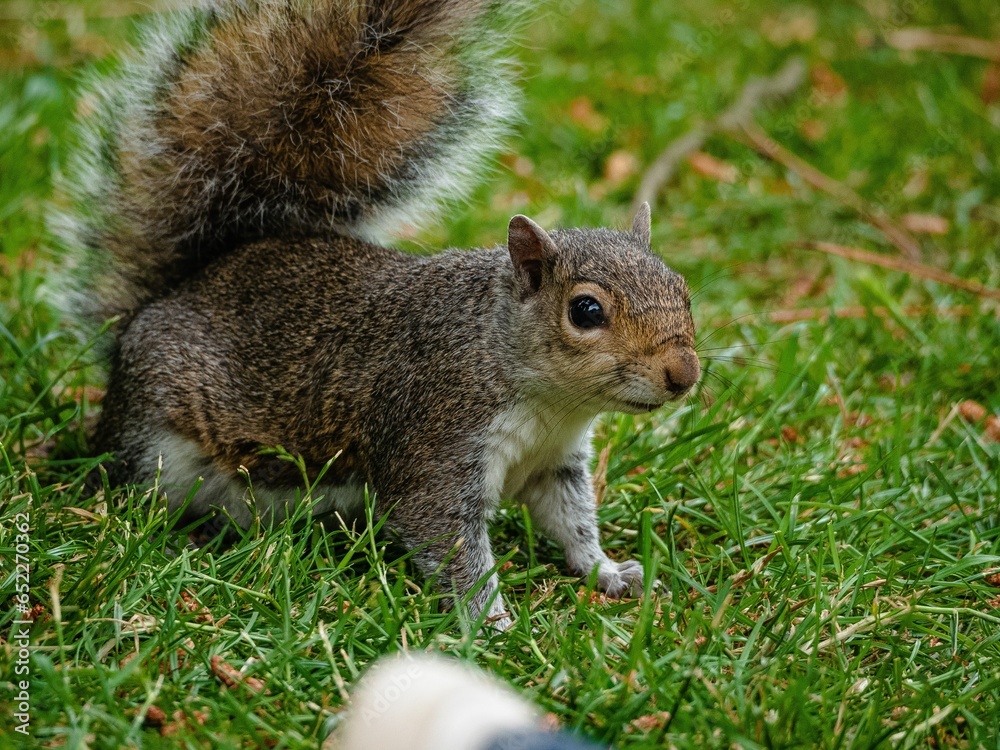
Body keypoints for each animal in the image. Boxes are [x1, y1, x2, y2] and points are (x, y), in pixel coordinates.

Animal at [56, 0, 701, 629]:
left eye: (683, 288)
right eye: (585, 310)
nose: (685, 374)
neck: (547, 399)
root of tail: (167, 297)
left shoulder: (555, 463)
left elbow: (572, 523)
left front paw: (608, 571)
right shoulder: (437, 439)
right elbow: (445, 535)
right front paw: (492, 625)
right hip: (157, 442)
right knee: (137, 488)